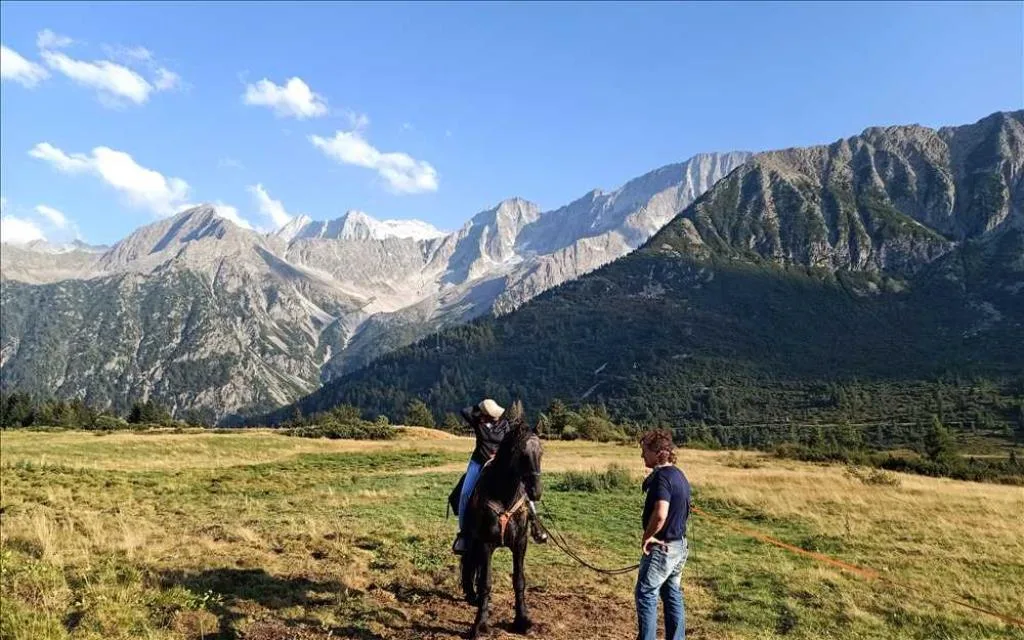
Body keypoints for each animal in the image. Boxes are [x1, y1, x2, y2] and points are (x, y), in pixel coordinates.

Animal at [460, 400, 543, 638]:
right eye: (520, 453)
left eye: (541, 452)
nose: (535, 492)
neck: (504, 495)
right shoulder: (486, 544)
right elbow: (486, 582)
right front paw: (480, 625)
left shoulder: (520, 544)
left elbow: (519, 580)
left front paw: (522, 620)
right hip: (473, 540)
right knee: (468, 562)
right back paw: (471, 594)